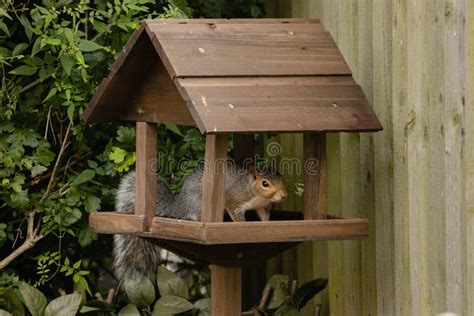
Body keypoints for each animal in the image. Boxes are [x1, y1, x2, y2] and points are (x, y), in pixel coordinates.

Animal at [113, 164, 286, 292]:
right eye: (265, 183)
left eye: (281, 177)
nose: (284, 195)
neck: (254, 193)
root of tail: (179, 205)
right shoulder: (233, 199)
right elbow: (236, 214)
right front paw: (242, 226)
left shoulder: (262, 207)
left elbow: (264, 216)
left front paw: (267, 225)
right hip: (198, 205)